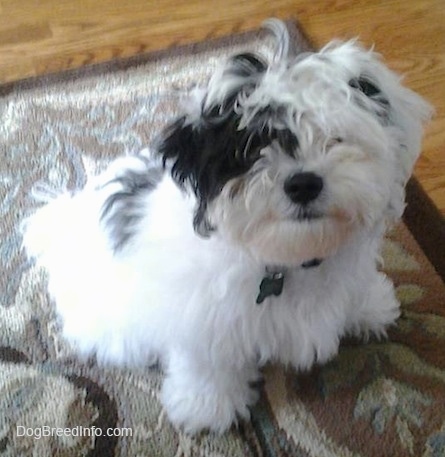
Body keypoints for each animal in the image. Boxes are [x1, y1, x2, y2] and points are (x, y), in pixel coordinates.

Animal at [22, 19, 432, 432]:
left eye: (335, 136)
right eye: (252, 149)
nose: (303, 183)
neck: (286, 258)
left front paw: (370, 306)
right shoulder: (204, 319)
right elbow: (209, 363)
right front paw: (206, 407)